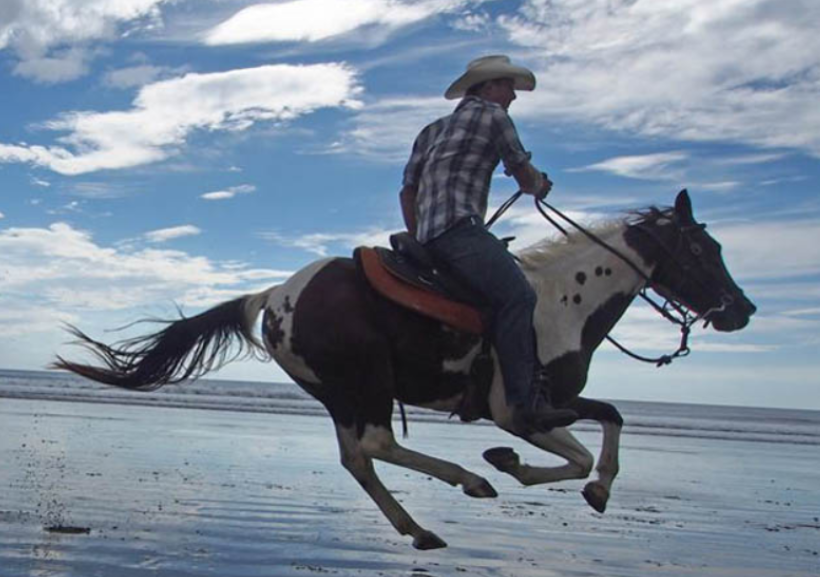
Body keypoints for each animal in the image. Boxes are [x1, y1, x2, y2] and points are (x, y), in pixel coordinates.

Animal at [54, 190, 755, 550]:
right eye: (705, 248)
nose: (742, 310)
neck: (563, 301)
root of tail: (274, 295)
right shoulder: (521, 406)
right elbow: (597, 437)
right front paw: (547, 475)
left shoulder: (531, 409)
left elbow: (599, 431)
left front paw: (535, 471)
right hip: (365, 380)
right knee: (376, 443)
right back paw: (469, 481)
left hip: (336, 391)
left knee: (359, 457)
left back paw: (419, 526)